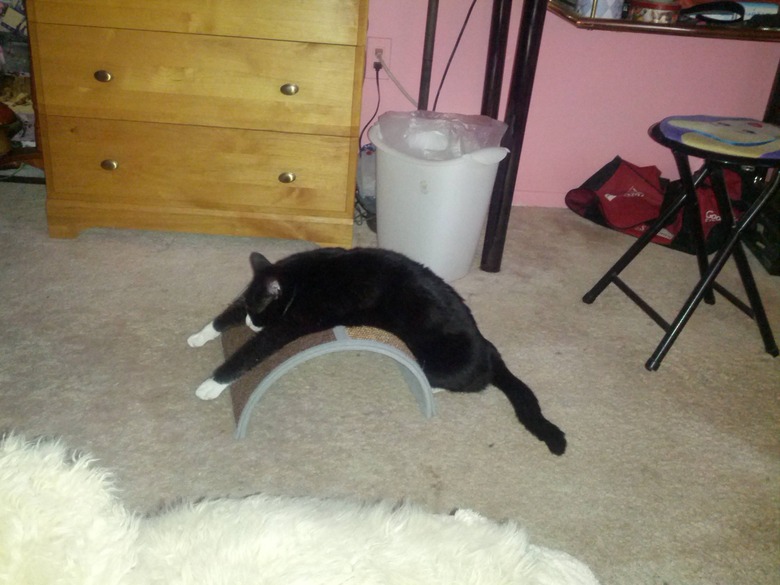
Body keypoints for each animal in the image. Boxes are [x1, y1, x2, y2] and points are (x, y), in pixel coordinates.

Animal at [189, 246, 568, 456]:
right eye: (250, 308)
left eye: (260, 311)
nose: (251, 323)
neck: (302, 279)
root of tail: (489, 347)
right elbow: (225, 316)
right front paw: (199, 335)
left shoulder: (290, 325)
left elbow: (252, 351)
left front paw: (210, 385)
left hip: (442, 362)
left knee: (472, 383)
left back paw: (434, 386)